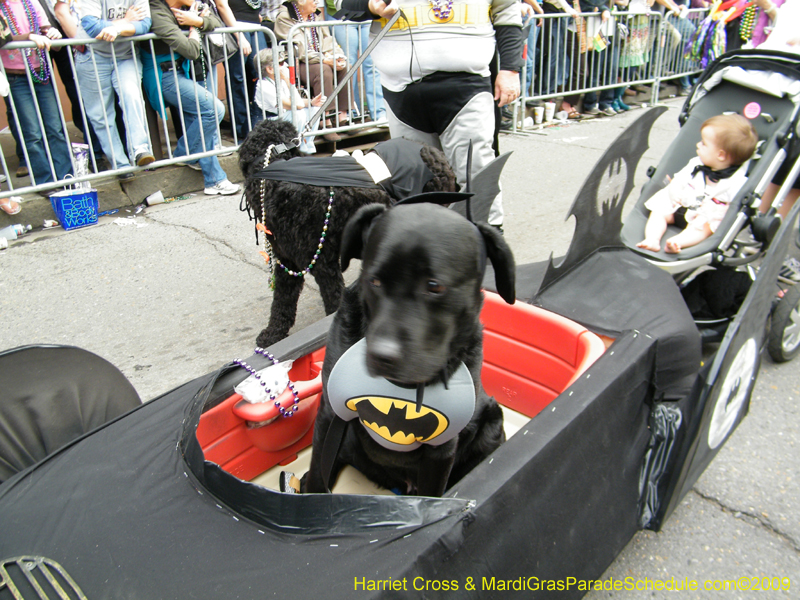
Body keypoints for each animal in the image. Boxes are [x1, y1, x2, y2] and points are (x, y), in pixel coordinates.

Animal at [300, 202, 520, 496]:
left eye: (434, 286)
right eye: (374, 281)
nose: (383, 356)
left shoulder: (442, 447)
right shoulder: (330, 413)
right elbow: (317, 474)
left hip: (492, 422)